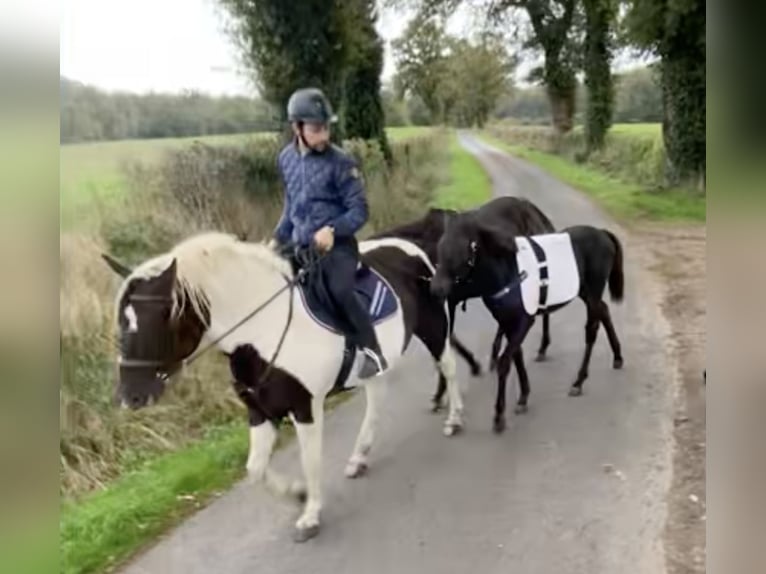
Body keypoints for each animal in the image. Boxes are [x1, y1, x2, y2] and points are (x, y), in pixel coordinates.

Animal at [101, 231, 462, 544]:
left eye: (159, 315)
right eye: (121, 319)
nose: (130, 396)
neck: (264, 330)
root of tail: (409, 245)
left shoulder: (305, 408)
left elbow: (310, 460)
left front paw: (310, 515)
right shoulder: (261, 412)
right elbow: (255, 469)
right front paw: (298, 495)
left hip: (434, 328)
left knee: (448, 367)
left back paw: (454, 420)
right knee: (377, 399)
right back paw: (359, 457)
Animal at [370, 196, 556, 412]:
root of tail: (533, 209)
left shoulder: (443, 304)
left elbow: (446, 343)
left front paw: (444, 391)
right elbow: (449, 342)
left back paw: (541, 348)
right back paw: (496, 354)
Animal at [432, 205, 624, 434]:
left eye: (462, 248)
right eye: (440, 246)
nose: (436, 288)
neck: (510, 273)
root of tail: (603, 234)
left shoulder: (525, 320)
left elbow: (506, 361)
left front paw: (499, 416)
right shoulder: (507, 321)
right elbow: (517, 356)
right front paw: (523, 397)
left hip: (593, 292)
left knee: (592, 329)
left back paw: (578, 382)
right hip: (584, 292)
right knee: (604, 311)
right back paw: (617, 357)